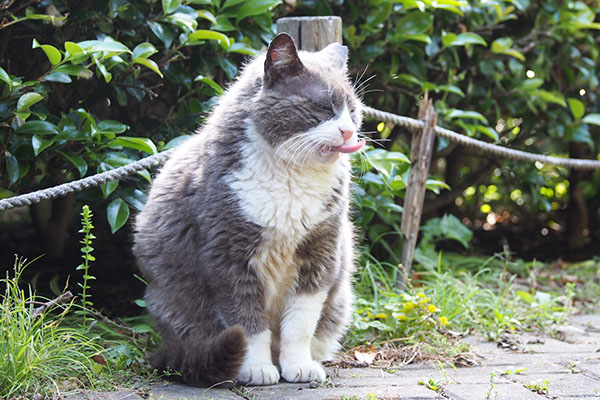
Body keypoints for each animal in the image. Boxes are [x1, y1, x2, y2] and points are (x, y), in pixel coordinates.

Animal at [133, 32, 364, 386]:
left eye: (352, 111)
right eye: (323, 107)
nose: (349, 131)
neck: (291, 176)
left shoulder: (320, 252)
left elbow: (300, 322)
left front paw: (299, 366)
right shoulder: (228, 256)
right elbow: (248, 323)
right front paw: (256, 368)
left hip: (339, 300)